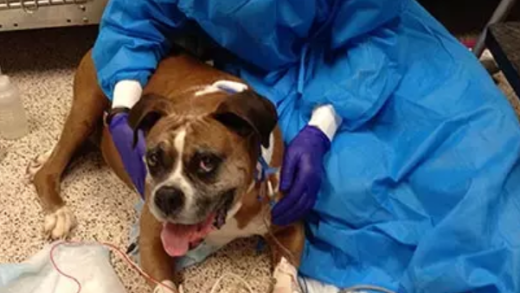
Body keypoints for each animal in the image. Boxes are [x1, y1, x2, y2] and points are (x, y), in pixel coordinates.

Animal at [25, 49, 304, 290]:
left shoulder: (290, 228)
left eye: (206, 161)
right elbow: (165, 284)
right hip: (86, 108)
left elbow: (286, 275)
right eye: (153, 158)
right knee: (51, 169)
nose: (166, 196)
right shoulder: (151, 235)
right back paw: (58, 211)